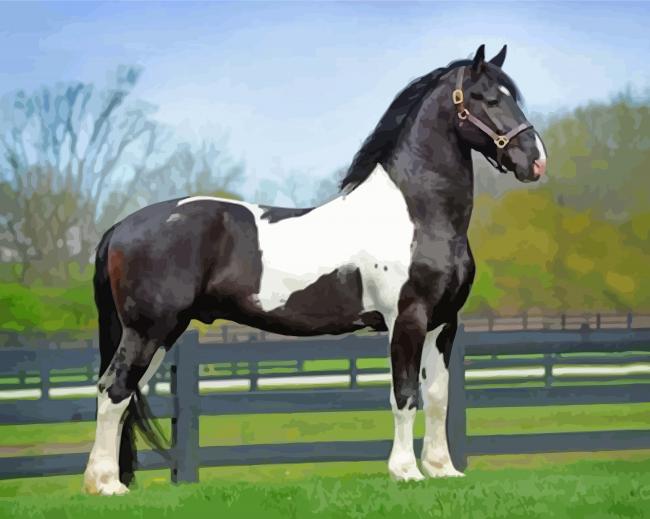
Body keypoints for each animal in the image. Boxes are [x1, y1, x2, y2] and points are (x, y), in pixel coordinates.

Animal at [83, 44, 547, 495]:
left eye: (511, 97)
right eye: (486, 98)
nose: (536, 161)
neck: (414, 212)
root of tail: (120, 228)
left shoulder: (443, 323)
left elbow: (437, 396)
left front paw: (441, 469)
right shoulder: (407, 319)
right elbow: (404, 395)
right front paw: (405, 472)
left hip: (162, 333)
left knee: (124, 394)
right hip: (149, 330)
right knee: (114, 389)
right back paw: (105, 484)